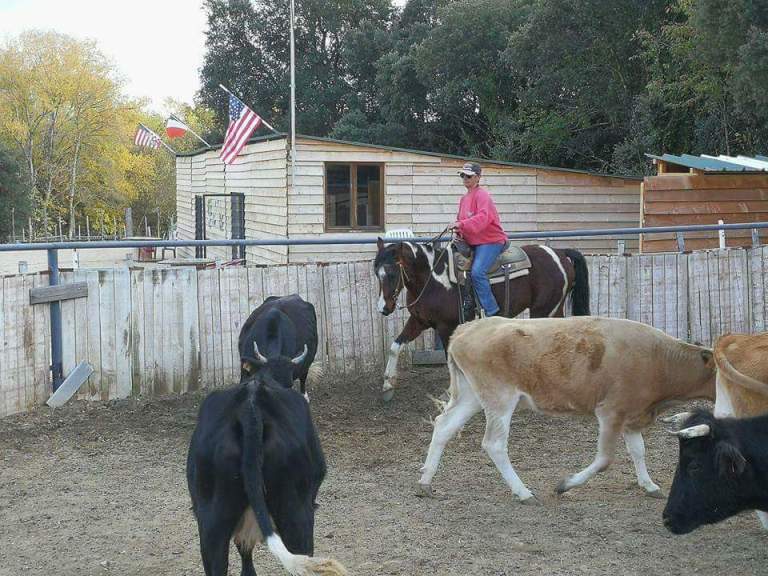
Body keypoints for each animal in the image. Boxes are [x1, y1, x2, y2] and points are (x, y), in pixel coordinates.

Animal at [373, 238, 590, 401]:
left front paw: (452, 392)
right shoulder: (419, 321)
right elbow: (395, 346)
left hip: (544, 310)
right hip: (554, 309)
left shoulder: (446, 326)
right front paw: (387, 385)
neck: (433, 279)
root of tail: (560, 253)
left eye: (391, 273)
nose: (383, 308)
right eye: (377, 273)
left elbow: (449, 359)